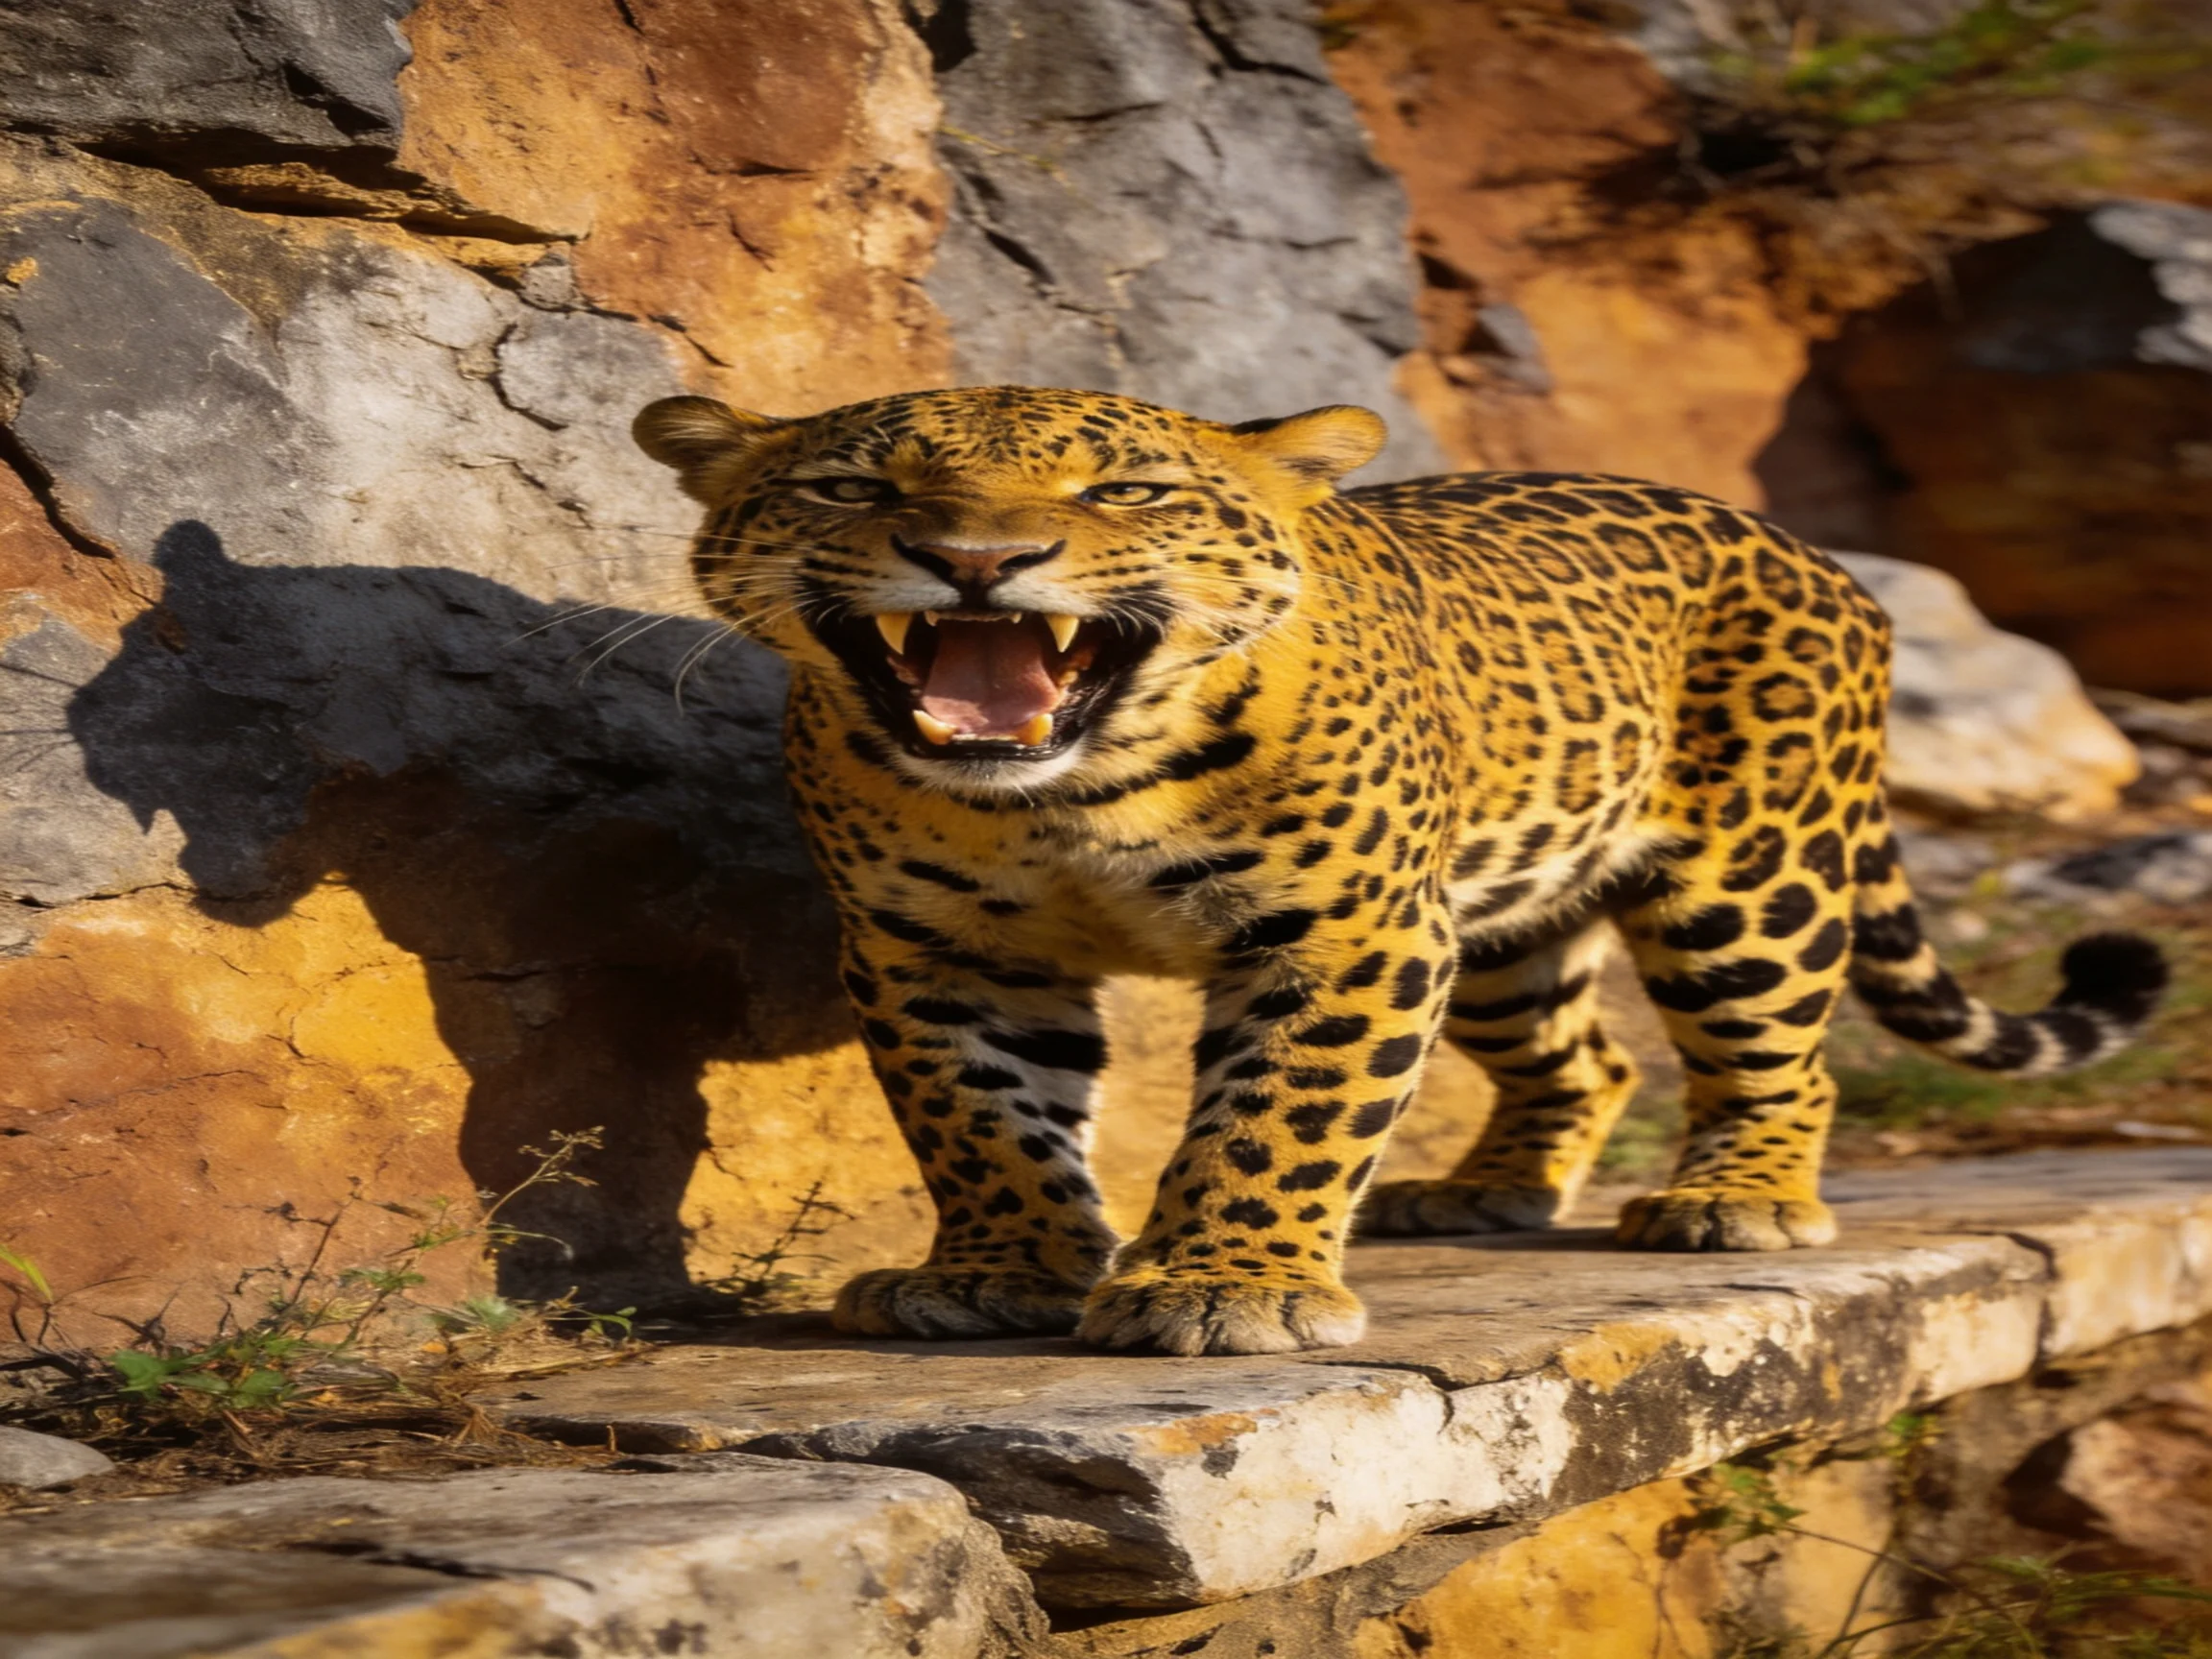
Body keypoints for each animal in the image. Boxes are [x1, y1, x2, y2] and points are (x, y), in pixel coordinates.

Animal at [633, 384, 2167, 1359]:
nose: (976, 558)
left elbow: (1282, 1115)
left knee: (1782, 1054)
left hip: (1749, 884)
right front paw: (1003, 1272)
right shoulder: (938, 953)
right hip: (1500, 920)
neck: (1066, 800)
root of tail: (1806, 548)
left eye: (1125, 489)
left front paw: (1226, 1290)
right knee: (1586, 1058)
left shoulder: (1345, 936)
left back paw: (1737, 1199)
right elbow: (980, 1121)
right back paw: (1491, 1186)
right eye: (853, 485)